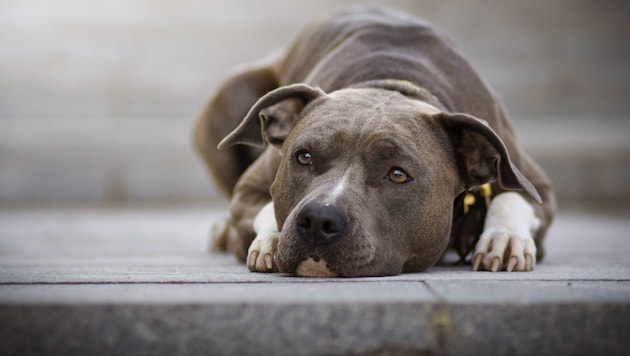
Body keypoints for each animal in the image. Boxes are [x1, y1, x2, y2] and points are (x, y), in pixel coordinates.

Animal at [194, 6, 556, 278]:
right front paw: (270, 239)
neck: (392, 83)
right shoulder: (250, 188)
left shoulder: (536, 183)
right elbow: (263, 206)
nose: (319, 220)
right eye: (303, 157)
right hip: (231, 90)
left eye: (397, 174)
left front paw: (505, 238)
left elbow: (513, 198)